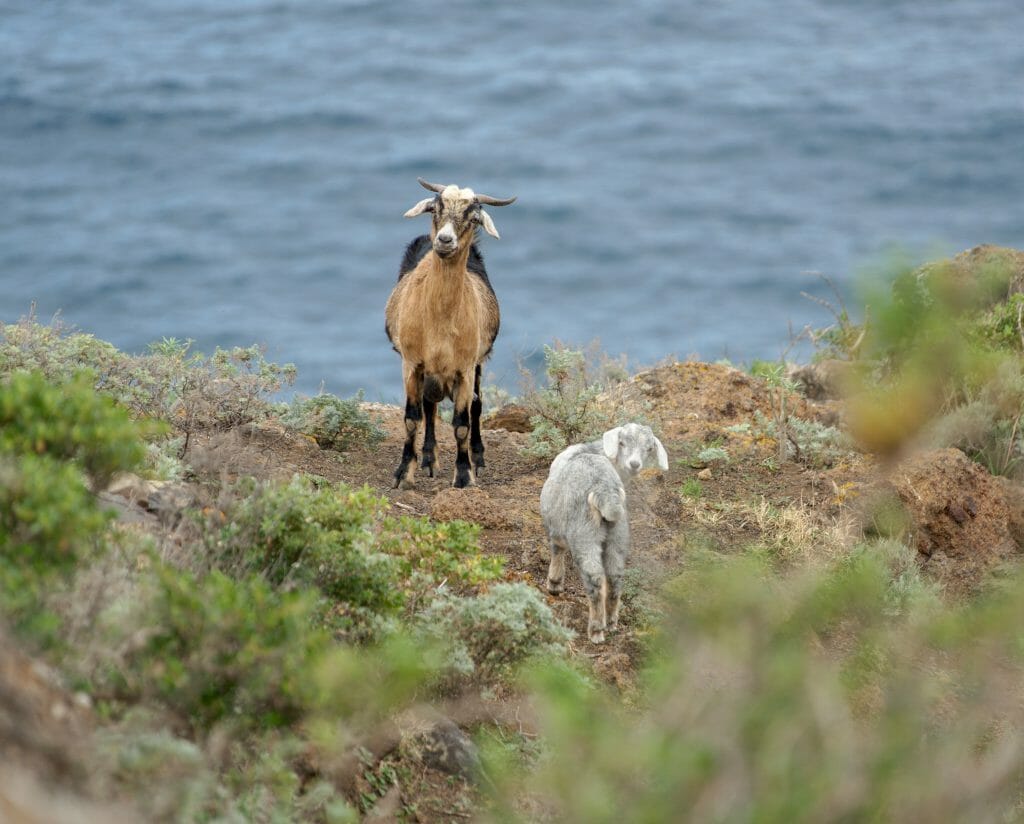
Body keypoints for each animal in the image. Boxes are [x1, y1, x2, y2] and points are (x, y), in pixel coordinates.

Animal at [385, 178, 516, 489]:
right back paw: (428, 459)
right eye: (436, 208)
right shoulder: (412, 363)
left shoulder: (464, 368)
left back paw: (477, 458)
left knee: (476, 406)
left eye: (473, 216)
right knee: (429, 406)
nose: (445, 241)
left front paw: (465, 475)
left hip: (478, 362)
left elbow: (461, 425)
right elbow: (412, 418)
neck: (439, 324)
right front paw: (403, 473)